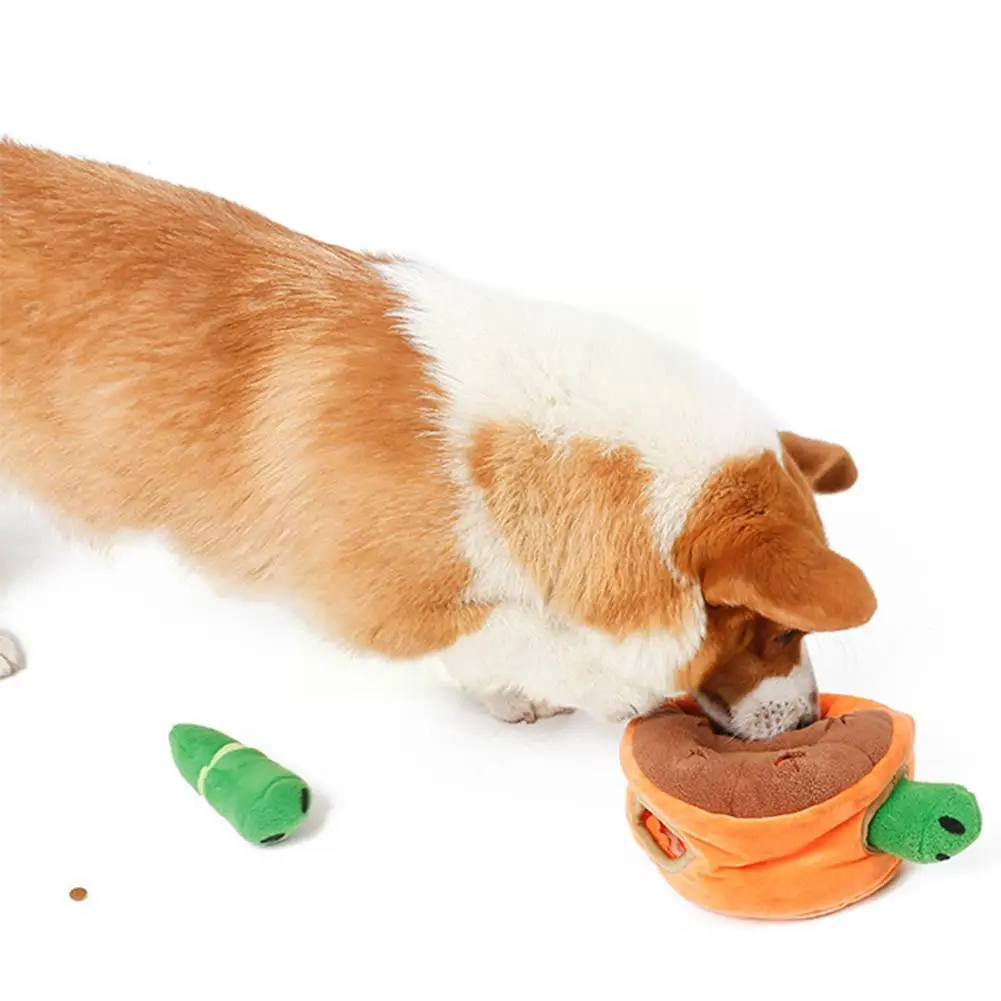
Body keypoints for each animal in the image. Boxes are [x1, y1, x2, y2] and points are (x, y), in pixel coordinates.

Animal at [0, 141, 876, 738]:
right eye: (781, 629)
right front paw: (599, 685)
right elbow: (511, 627)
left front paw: (507, 695)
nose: (807, 720)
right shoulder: (366, 599)